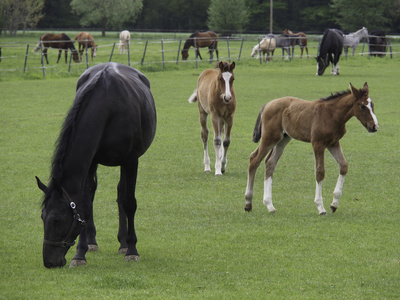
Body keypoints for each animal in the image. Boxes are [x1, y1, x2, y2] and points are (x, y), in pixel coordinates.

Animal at [36, 62, 156, 268]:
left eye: (58, 220)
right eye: (43, 217)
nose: (49, 262)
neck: (108, 106)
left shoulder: (131, 159)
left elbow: (129, 202)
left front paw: (132, 250)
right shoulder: (91, 159)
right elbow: (84, 205)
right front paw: (80, 254)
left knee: (121, 194)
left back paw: (124, 244)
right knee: (92, 193)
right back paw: (92, 242)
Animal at [244, 83, 378, 216]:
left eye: (372, 105)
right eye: (362, 106)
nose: (374, 126)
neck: (332, 115)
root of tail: (267, 104)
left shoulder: (333, 143)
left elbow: (344, 165)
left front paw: (334, 204)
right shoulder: (318, 143)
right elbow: (320, 172)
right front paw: (320, 207)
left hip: (283, 139)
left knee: (270, 163)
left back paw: (269, 205)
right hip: (270, 137)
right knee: (254, 159)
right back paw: (248, 203)